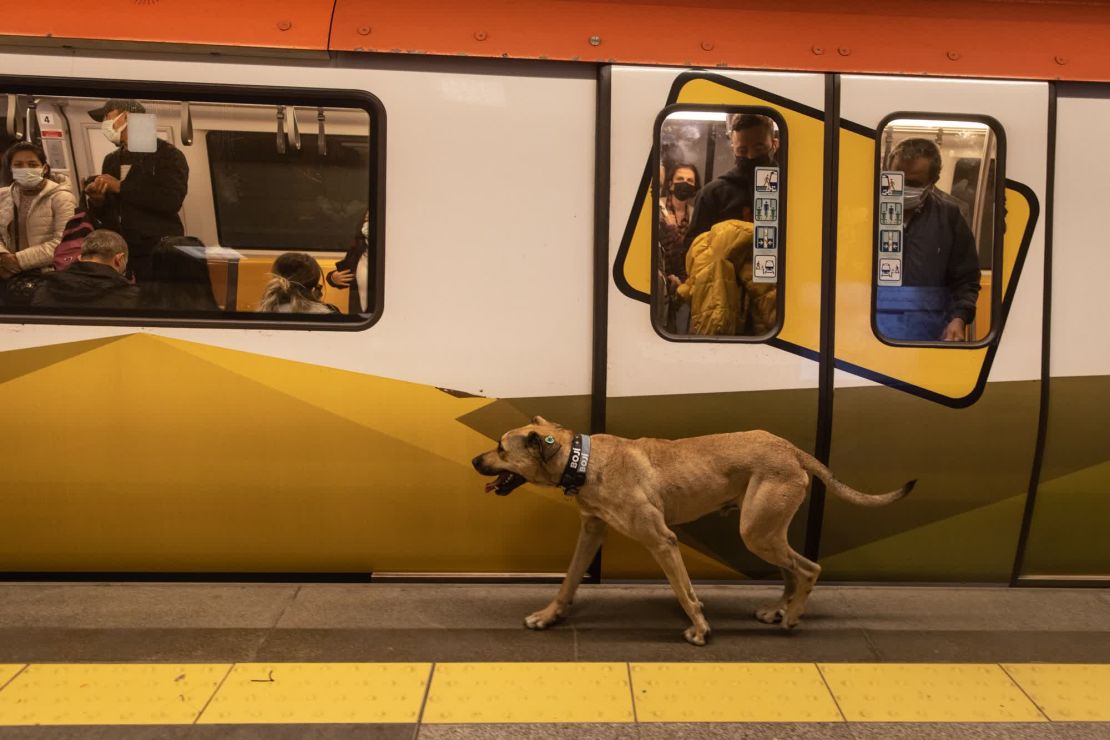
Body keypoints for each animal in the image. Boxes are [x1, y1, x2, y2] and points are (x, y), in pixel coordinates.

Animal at [468, 419, 910, 643]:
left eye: (501, 448)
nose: (474, 461)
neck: (583, 460)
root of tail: (791, 450)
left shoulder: (662, 541)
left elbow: (684, 591)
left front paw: (700, 628)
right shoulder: (591, 532)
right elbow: (568, 581)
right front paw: (548, 616)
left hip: (757, 532)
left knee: (809, 569)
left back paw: (791, 619)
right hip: (765, 532)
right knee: (793, 572)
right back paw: (778, 610)